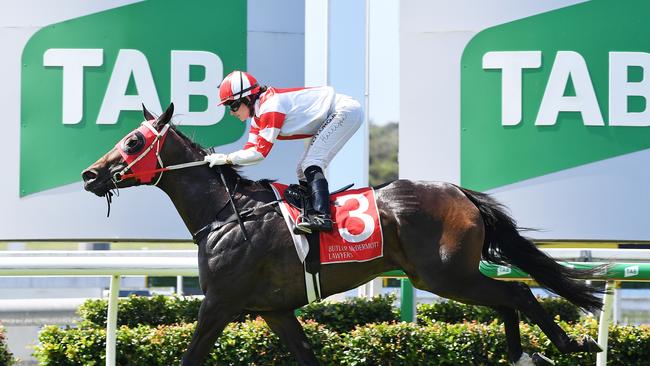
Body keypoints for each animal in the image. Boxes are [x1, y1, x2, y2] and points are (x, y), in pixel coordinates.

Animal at [82, 103, 604, 366]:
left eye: (133, 141)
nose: (90, 175)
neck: (228, 214)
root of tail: (459, 192)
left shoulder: (220, 303)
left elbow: (192, 356)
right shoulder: (273, 310)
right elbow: (305, 353)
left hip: (444, 275)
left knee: (517, 294)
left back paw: (568, 345)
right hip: (445, 276)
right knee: (507, 301)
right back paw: (523, 355)